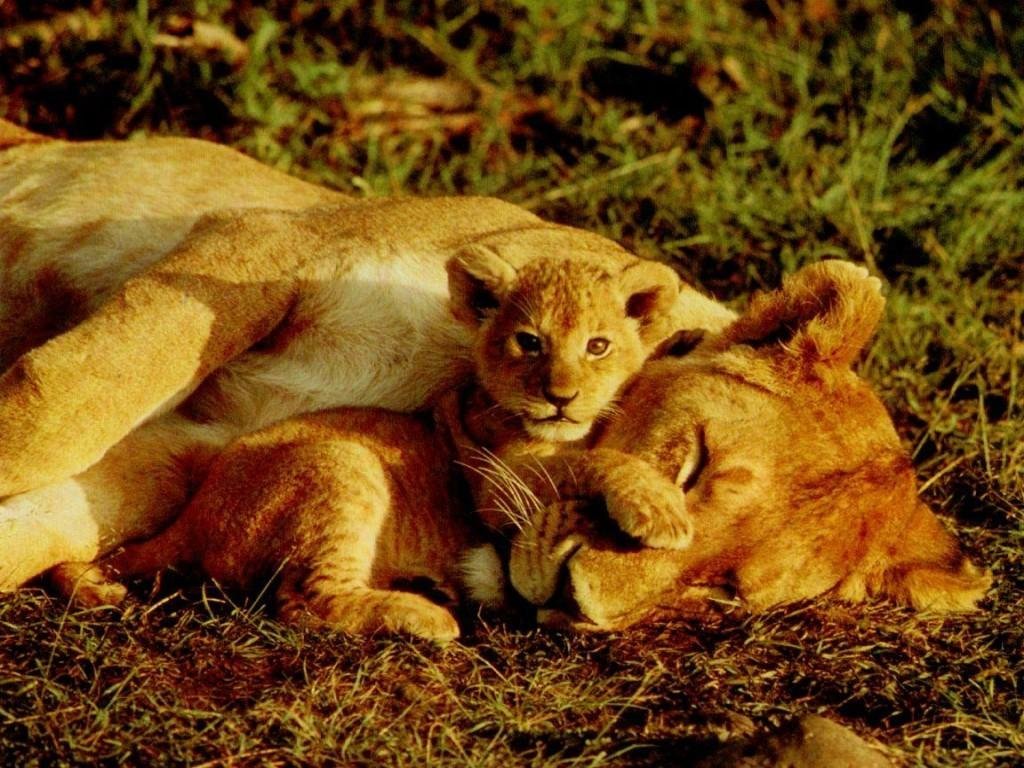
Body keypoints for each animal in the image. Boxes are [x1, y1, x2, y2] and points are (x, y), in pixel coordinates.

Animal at [0, 120, 733, 591]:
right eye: (690, 464)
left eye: (720, 589)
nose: (583, 602)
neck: (453, 369)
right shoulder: (264, 243)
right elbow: (53, 416)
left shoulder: (205, 438)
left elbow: (51, 510)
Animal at [60, 253, 692, 641]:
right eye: (529, 342)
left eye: (598, 346)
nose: (561, 397)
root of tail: (193, 515)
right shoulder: (497, 485)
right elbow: (588, 459)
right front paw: (660, 509)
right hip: (344, 464)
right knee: (305, 602)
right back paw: (425, 615)